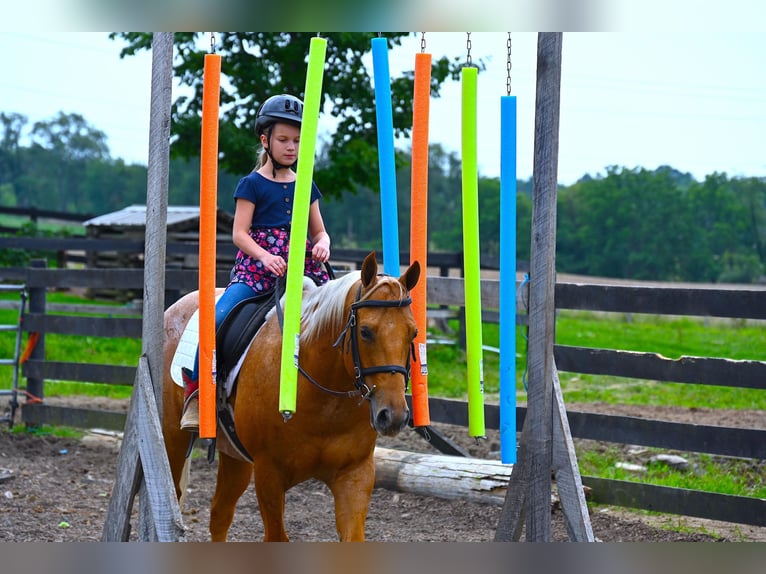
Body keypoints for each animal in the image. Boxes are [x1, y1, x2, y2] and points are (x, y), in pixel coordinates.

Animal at [162, 253, 424, 544]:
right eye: (365, 331)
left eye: (413, 333)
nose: (394, 416)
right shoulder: (269, 474)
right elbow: (276, 536)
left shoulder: (356, 473)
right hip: (173, 439)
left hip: (234, 456)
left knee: (220, 514)